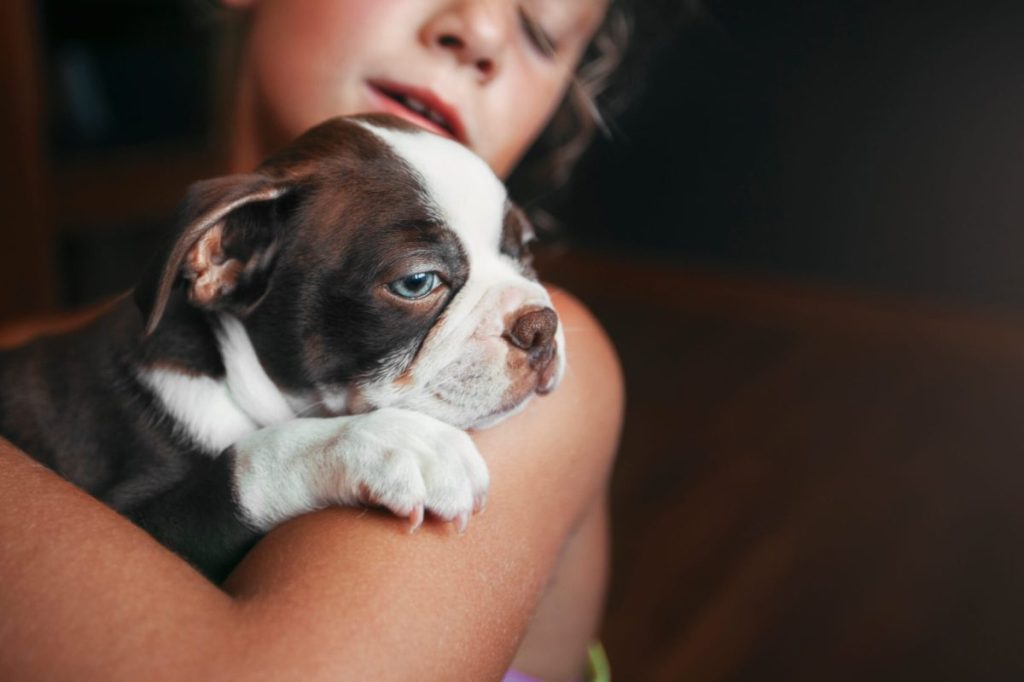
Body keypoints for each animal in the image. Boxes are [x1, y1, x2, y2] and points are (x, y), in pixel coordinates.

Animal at [0, 115, 569, 577]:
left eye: (525, 251)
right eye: (416, 282)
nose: (541, 325)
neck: (229, 377)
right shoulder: (131, 519)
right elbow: (245, 464)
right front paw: (394, 442)